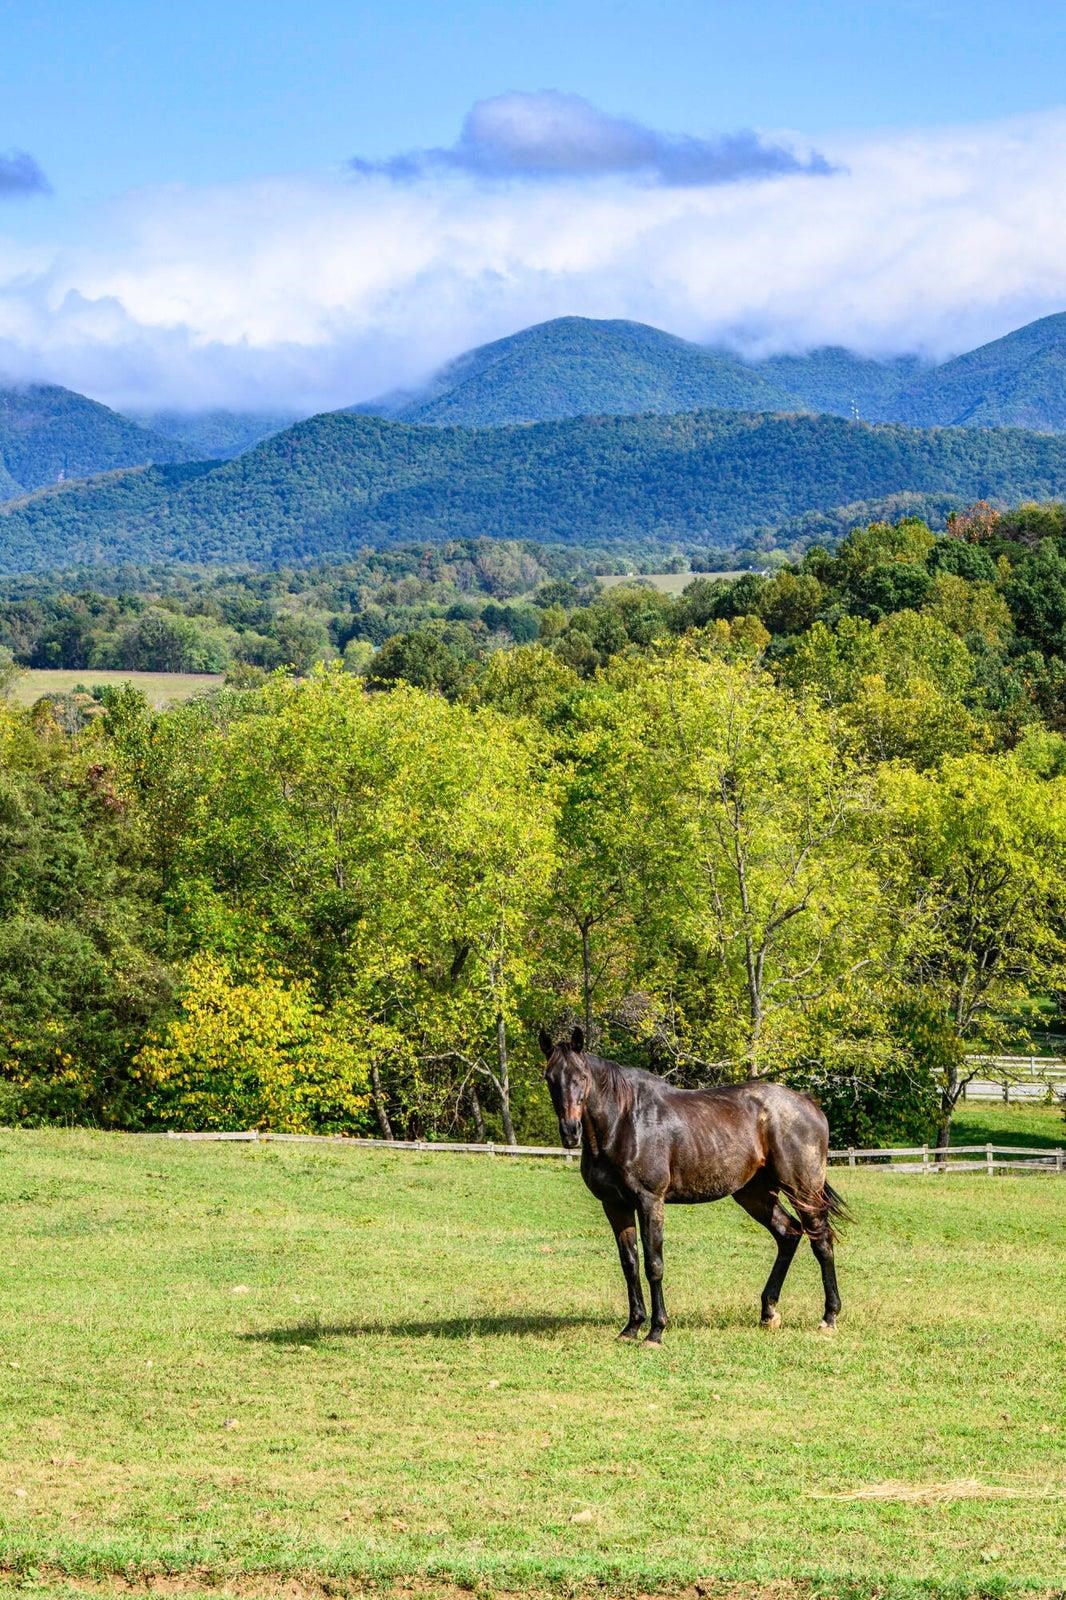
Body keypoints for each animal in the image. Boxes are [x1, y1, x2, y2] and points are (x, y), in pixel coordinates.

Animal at [541, 1024, 845, 1337]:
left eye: (581, 1077)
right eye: (549, 1078)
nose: (570, 1131)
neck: (623, 1122)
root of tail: (809, 1103)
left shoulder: (650, 1201)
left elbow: (653, 1264)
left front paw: (656, 1330)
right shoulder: (615, 1205)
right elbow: (630, 1264)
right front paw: (632, 1327)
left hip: (803, 1189)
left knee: (821, 1241)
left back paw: (829, 1317)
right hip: (755, 1194)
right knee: (788, 1234)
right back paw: (769, 1312)